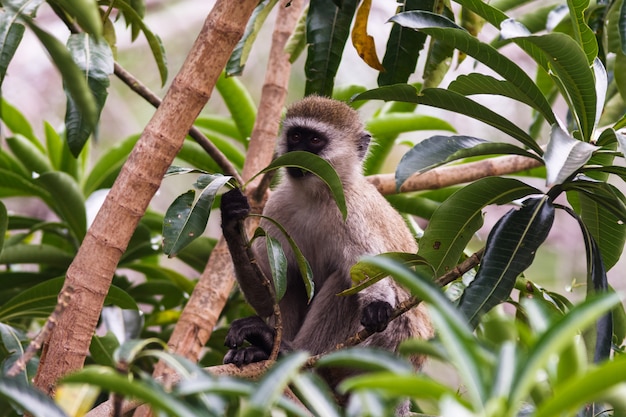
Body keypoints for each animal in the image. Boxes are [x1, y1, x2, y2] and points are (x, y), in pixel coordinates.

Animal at [218, 96, 428, 394]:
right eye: (296, 136)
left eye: (315, 140)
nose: (298, 154)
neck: (317, 197)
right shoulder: (276, 207)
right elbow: (269, 294)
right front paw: (231, 219)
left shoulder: (354, 212)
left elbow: (370, 273)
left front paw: (377, 304)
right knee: (293, 278)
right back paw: (264, 350)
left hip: (388, 346)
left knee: (346, 279)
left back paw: (287, 350)